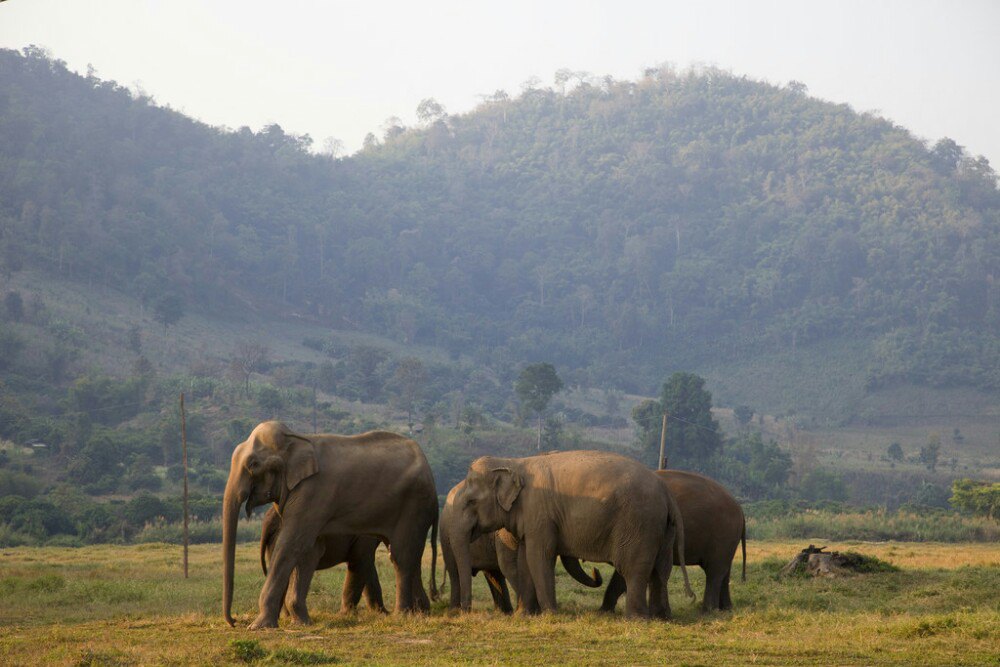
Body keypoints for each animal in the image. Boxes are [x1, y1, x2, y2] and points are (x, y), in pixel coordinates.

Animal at [259, 506, 387, 622]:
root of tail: (267, 520)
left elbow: (367, 566)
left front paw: (383, 614)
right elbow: (361, 560)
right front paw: (347, 615)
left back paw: (286, 617)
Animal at [439, 479, 603, 613]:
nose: (596, 570)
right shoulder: (503, 533)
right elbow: (510, 566)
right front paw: (534, 610)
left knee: (493, 574)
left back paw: (504, 612)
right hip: (446, 535)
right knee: (455, 572)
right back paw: (455, 611)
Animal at [599, 470, 747, 613]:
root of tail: (739, 508)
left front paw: (604, 611)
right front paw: (605, 611)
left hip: (723, 536)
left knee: (714, 571)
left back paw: (709, 611)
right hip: (728, 540)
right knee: (724, 571)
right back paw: (726, 609)